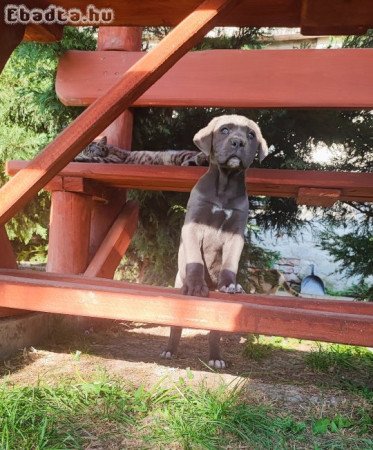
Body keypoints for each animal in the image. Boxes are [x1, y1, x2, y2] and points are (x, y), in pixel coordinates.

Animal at [160, 115, 268, 370]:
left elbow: (230, 263)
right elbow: (195, 261)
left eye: (251, 134)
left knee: (215, 330)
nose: (238, 142)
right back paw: (170, 350)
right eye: (225, 130)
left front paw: (230, 285)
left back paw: (215, 357)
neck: (225, 187)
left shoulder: (236, 235)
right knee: (175, 324)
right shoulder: (193, 226)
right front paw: (196, 285)